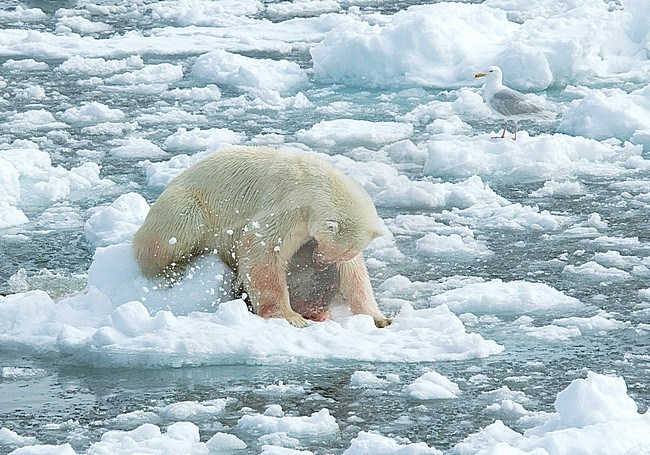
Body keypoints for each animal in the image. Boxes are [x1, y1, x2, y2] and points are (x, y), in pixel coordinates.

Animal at [129, 148, 388, 330]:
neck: (316, 184)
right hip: (188, 205)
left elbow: (353, 274)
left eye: (343, 253)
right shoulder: (289, 207)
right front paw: (291, 316)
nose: (321, 263)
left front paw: (379, 318)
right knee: (173, 234)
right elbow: (262, 248)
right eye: (333, 249)